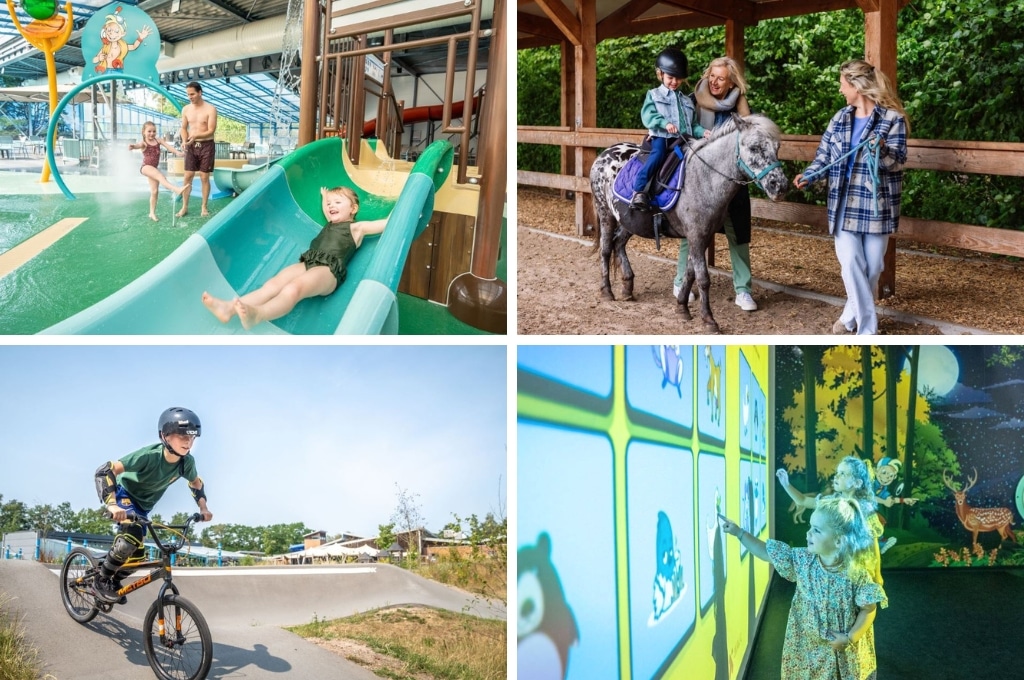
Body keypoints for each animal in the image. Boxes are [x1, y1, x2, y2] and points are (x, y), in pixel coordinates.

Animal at [589, 114, 786, 331]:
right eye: (754, 147)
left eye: (777, 147)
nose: (780, 185)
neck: (704, 178)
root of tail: (604, 154)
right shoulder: (696, 236)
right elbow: (703, 278)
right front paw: (708, 319)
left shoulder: (702, 236)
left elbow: (690, 274)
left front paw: (682, 307)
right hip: (605, 212)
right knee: (606, 249)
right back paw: (607, 291)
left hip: (630, 221)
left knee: (618, 243)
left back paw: (627, 286)